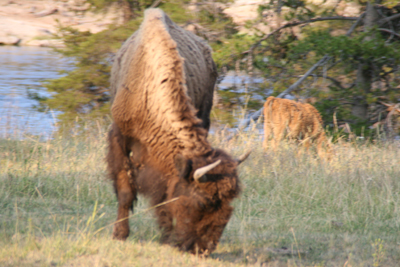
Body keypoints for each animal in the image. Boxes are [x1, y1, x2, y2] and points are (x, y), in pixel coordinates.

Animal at [106, 8, 250, 255]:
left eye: (230, 199)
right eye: (203, 201)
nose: (203, 249)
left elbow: (163, 197)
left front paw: (165, 238)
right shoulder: (120, 137)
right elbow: (125, 191)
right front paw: (120, 235)